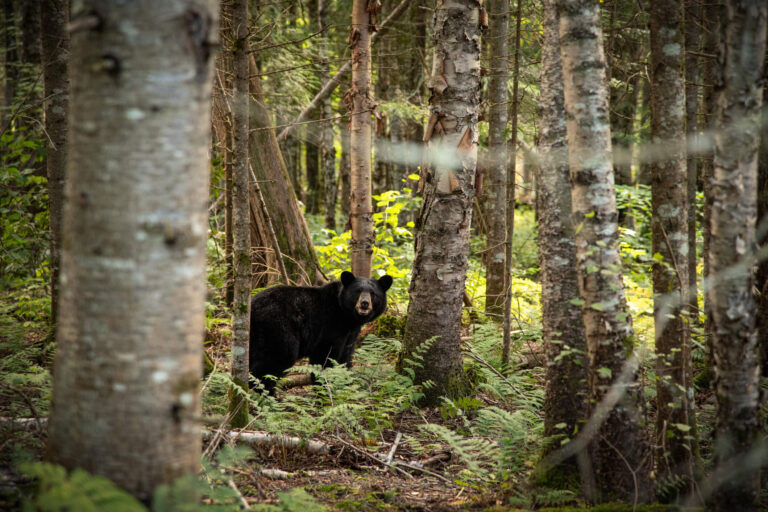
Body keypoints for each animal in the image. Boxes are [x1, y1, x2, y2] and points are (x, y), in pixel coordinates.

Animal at [248, 271, 393, 394]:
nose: (364, 303)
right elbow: (326, 357)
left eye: (373, 293)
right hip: (279, 329)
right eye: (357, 291)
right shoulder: (330, 326)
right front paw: (325, 388)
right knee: (277, 360)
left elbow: (345, 357)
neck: (347, 316)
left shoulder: (350, 334)